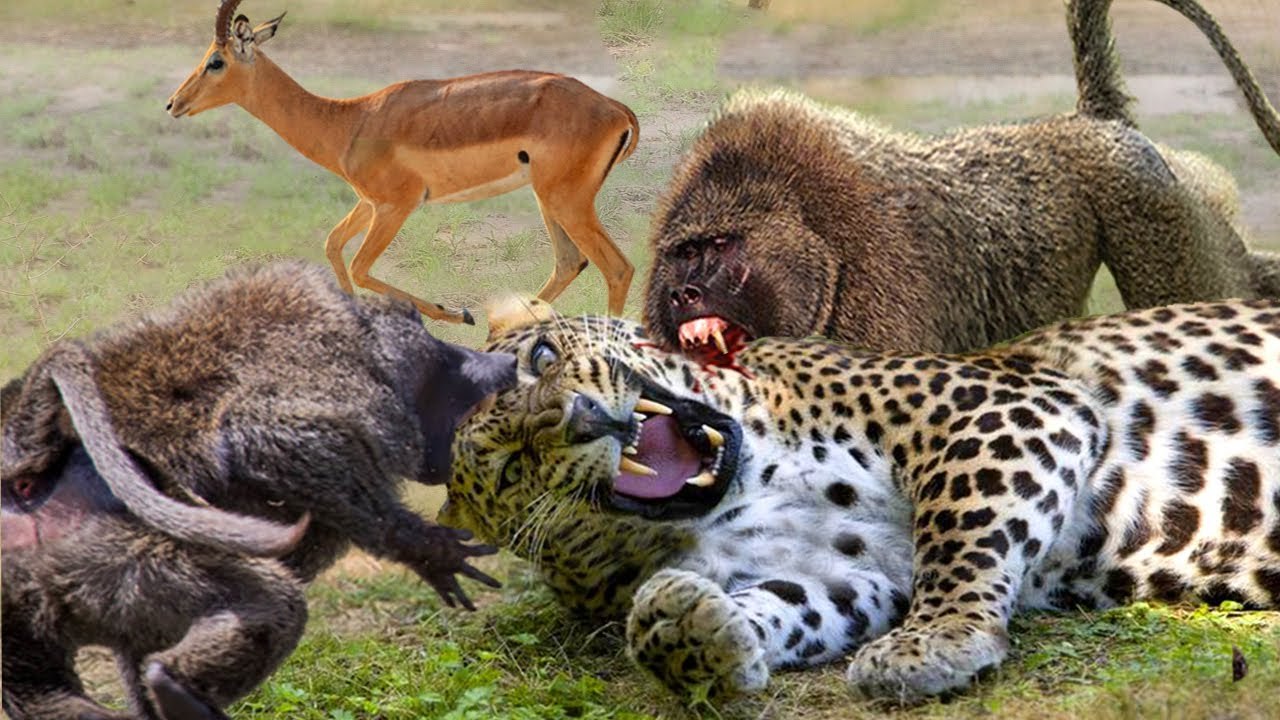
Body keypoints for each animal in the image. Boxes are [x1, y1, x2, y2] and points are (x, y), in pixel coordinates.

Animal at [166, 0, 640, 324]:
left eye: (215, 60)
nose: (173, 104)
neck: (348, 121)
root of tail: (616, 110)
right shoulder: (369, 203)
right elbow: (333, 245)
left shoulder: (397, 205)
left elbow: (360, 266)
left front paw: (458, 313)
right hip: (549, 200)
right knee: (570, 263)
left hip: (567, 202)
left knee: (617, 268)